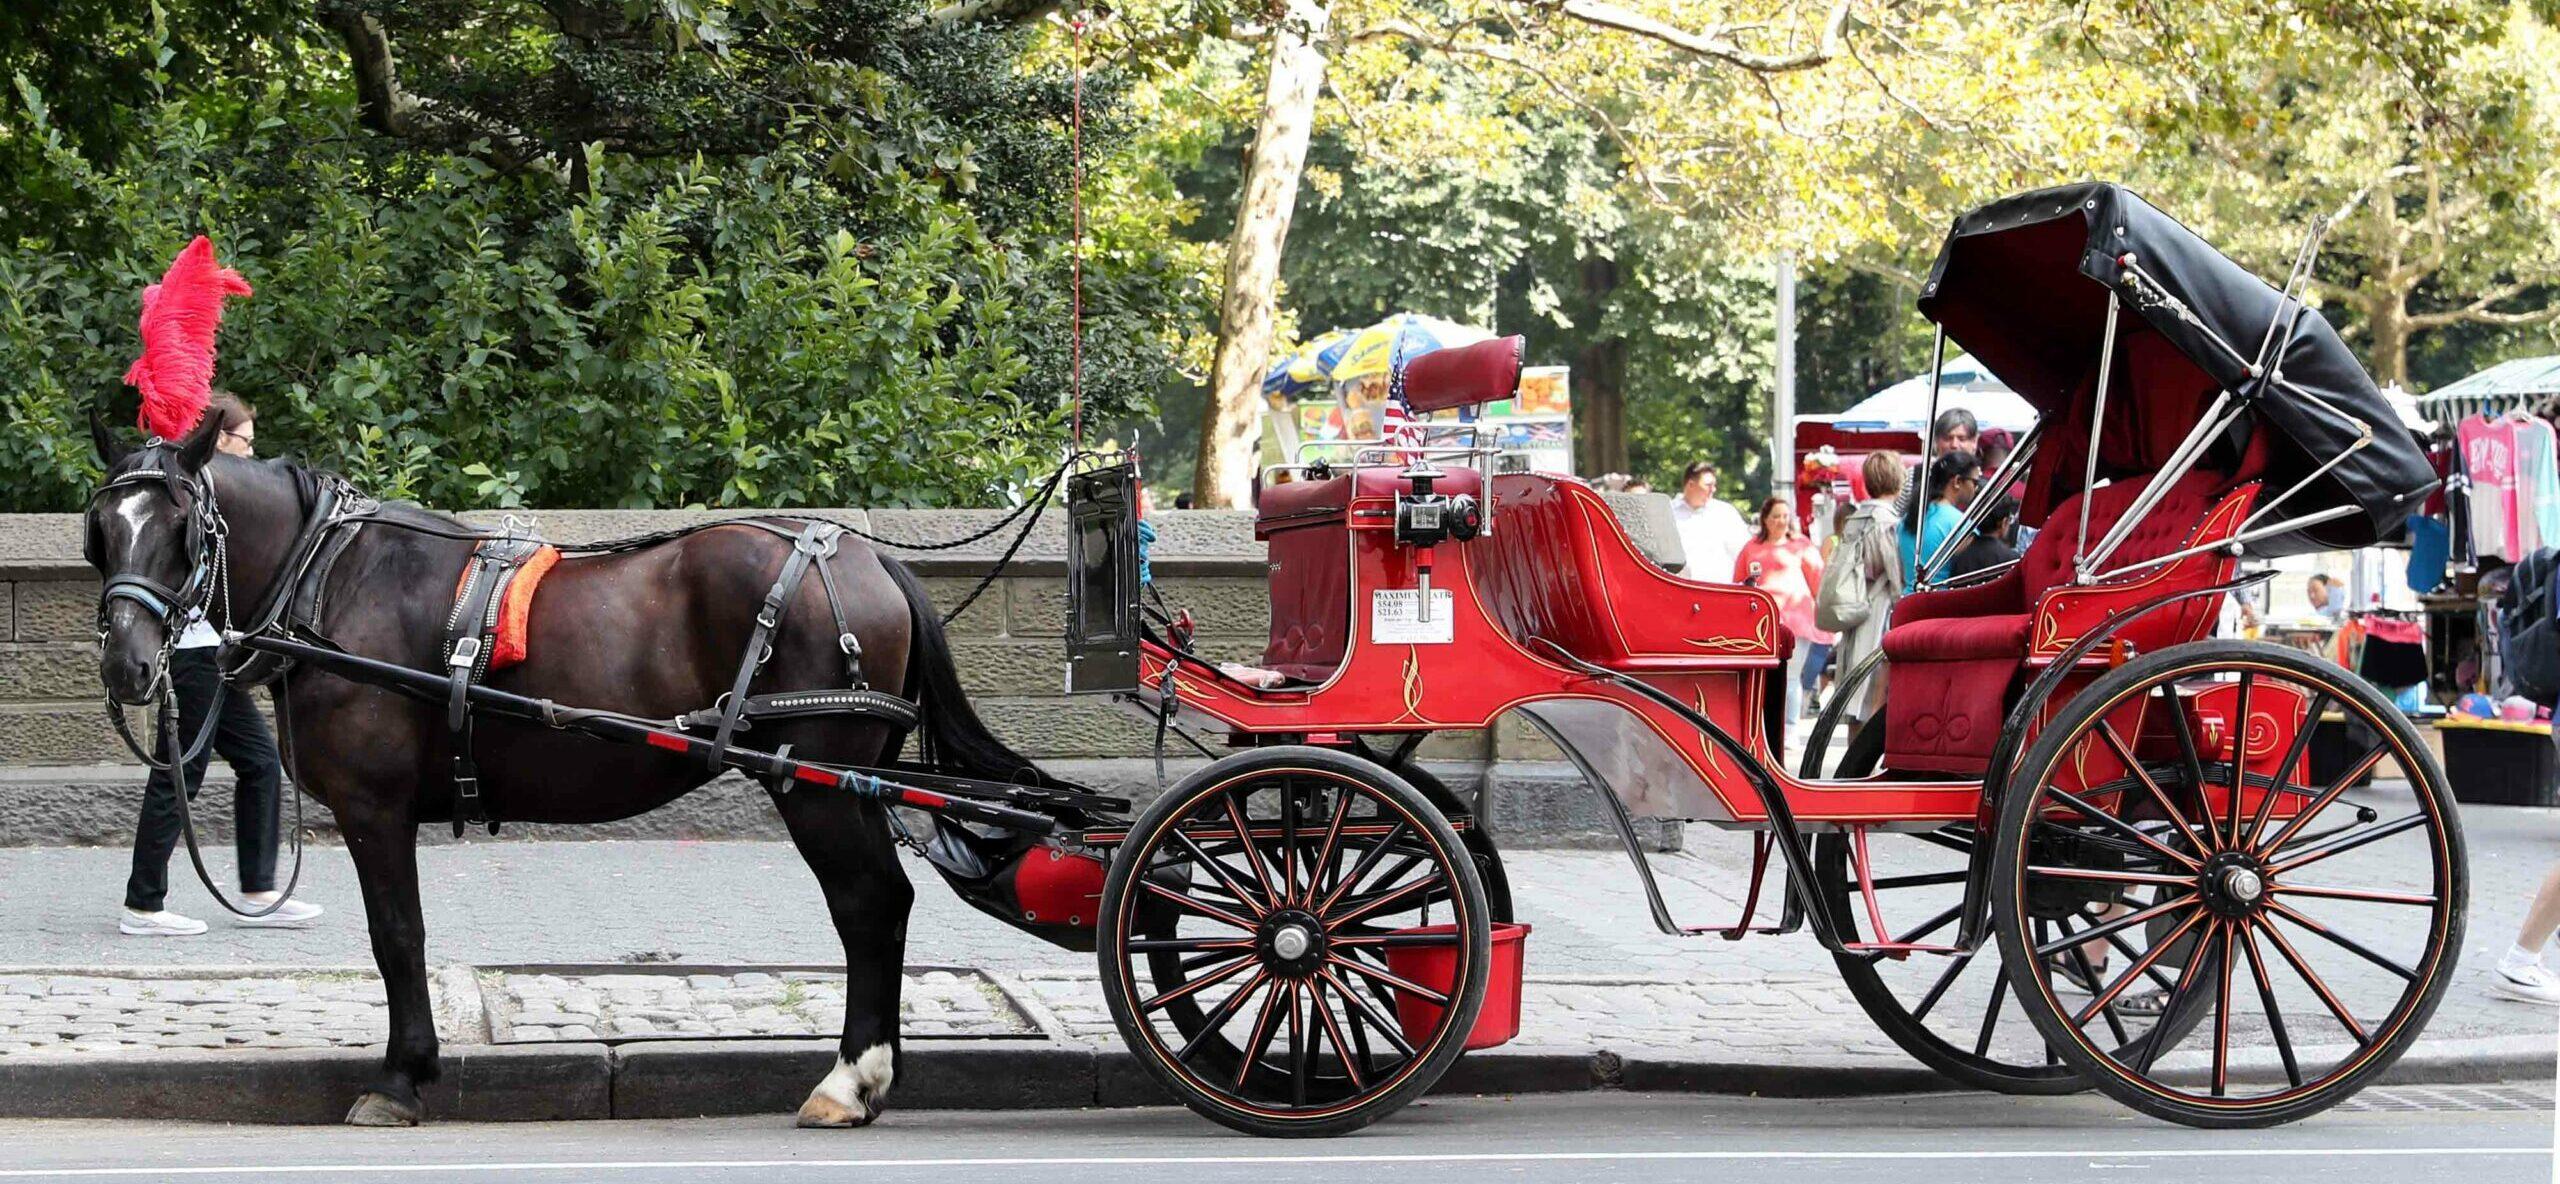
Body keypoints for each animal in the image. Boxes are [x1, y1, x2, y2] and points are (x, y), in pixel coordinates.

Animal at [87, 417, 1039, 1127]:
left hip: (816, 787)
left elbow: (398, 937)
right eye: (102, 535)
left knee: (869, 907)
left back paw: (850, 1080)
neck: (330, 575)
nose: (128, 666)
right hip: (849, 785)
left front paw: (402, 1077)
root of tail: (866, 558)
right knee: (884, 904)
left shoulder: (373, 808)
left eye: (180, 531)